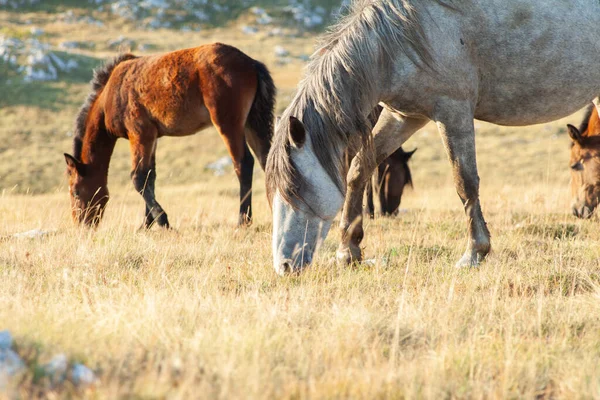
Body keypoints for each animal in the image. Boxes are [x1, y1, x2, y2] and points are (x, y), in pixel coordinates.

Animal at [64, 43, 276, 228]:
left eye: (76, 192)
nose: (81, 225)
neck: (111, 94)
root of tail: (250, 63)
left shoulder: (139, 134)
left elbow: (138, 177)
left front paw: (162, 221)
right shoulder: (152, 137)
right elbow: (150, 176)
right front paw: (146, 224)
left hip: (228, 125)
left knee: (243, 163)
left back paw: (243, 221)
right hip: (251, 124)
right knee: (266, 159)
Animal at [264, 0, 600, 276]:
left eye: (294, 190)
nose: (283, 266)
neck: (406, 34)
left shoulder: (453, 112)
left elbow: (465, 182)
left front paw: (474, 253)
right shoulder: (404, 116)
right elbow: (359, 170)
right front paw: (349, 251)